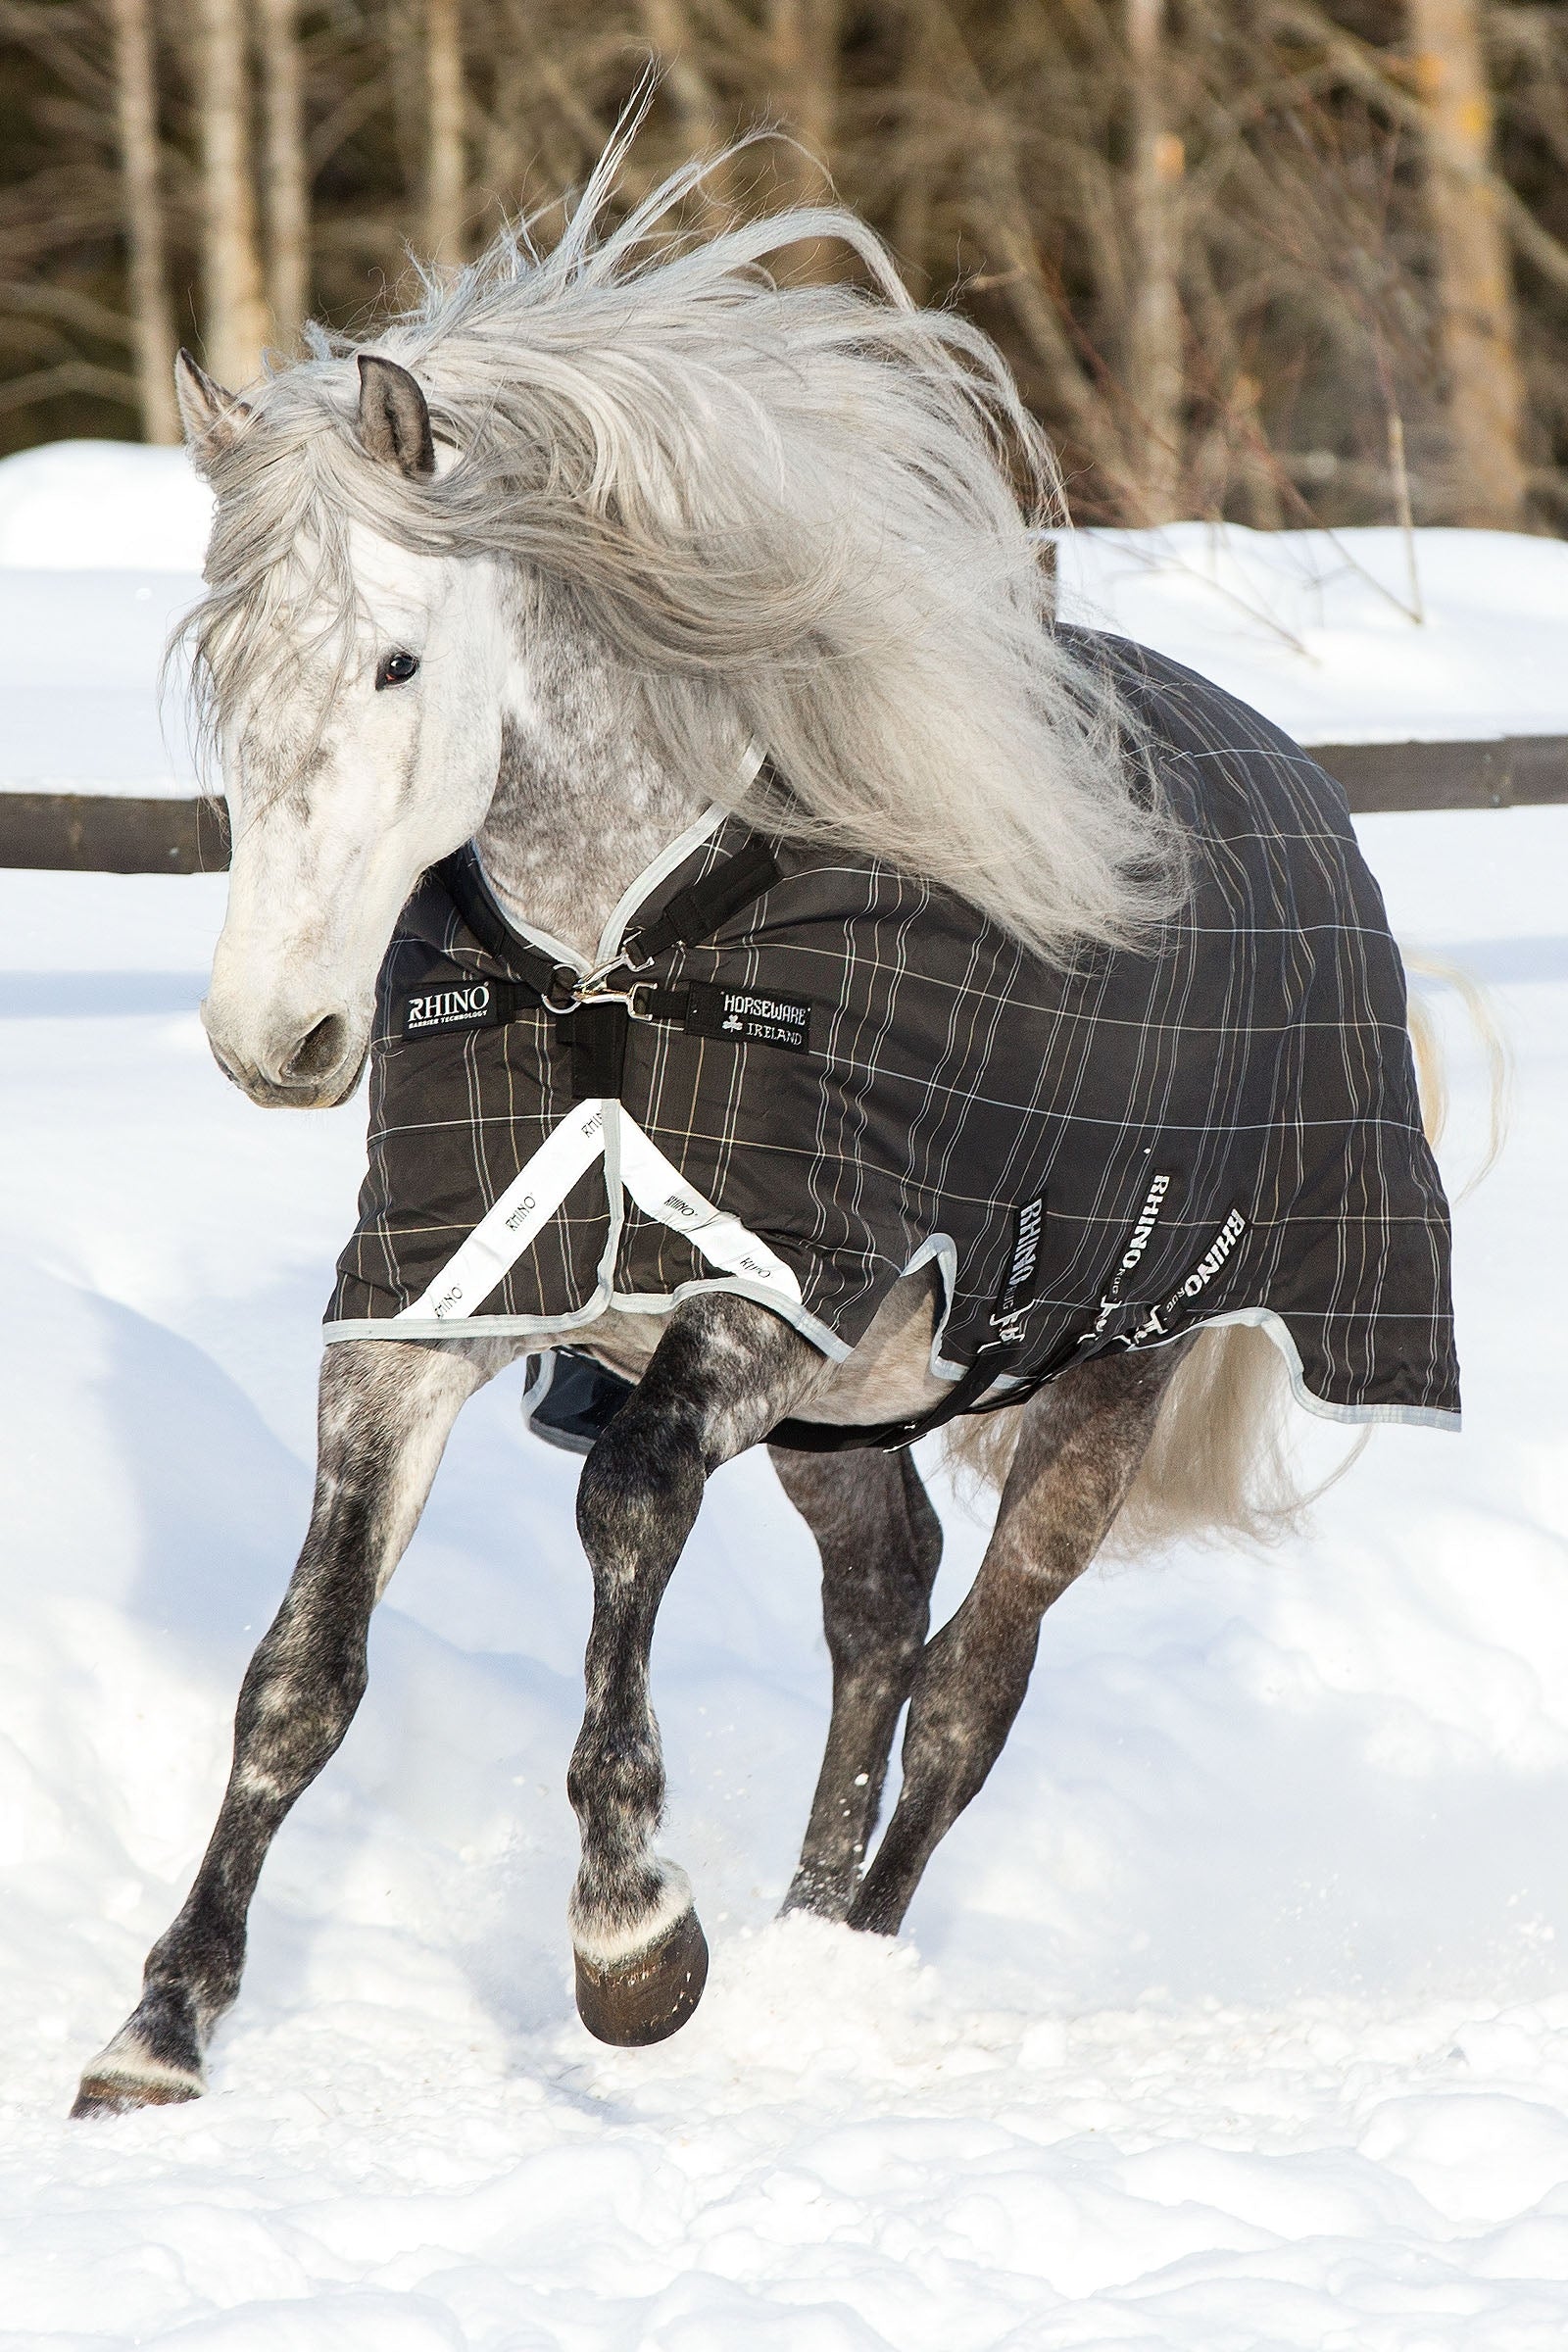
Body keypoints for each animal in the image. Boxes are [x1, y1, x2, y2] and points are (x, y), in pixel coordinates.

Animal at [73, 143, 1459, 2117]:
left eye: (401, 664)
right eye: (222, 674)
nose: (277, 1040)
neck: (616, 960)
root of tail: (1315, 801)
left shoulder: (766, 1288)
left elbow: (627, 1502)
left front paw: (633, 1942)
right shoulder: (428, 1305)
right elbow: (300, 1671)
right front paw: (160, 2033)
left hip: (1111, 1368)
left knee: (969, 1685)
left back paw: (841, 1974)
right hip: (849, 1411)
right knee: (882, 1611)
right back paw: (803, 1942)